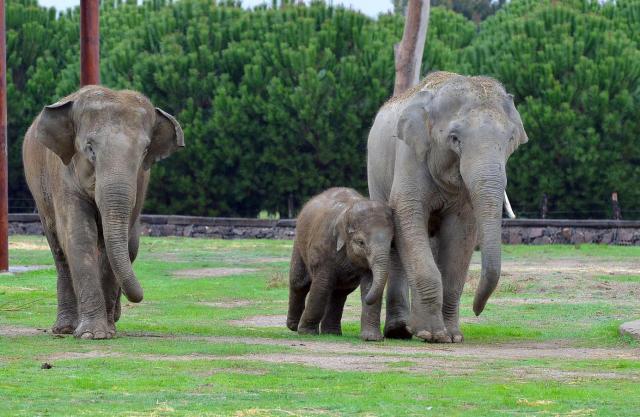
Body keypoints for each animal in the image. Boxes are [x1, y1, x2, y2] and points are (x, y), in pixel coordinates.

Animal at [22, 84, 182, 338]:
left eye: (145, 150)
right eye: (90, 148)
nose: (140, 295)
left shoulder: (140, 181)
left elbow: (116, 243)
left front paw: (104, 331)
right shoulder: (63, 175)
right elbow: (78, 236)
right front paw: (91, 334)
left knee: (130, 245)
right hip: (40, 195)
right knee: (59, 250)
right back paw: (66, 328)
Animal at [286, 187, 396, 340]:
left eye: (391, 242)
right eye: (361, 242)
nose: (367, 300)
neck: (347, 213)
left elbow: (369, 282)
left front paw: (372, 339)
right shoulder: (324, 249)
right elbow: (322, 285)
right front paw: (306, 332)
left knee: (339, 292)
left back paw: (331, 332)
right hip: (298, 242)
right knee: (299, 283)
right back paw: (293, 326)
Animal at [368, 71, 528, 342]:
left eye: (510, 140)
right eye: (455, 139)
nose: (477, 310)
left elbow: (462, 232)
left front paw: (452, 337)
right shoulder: (410, 155)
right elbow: (407, 213)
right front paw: (432, 335)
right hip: (375, 171)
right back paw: (401, 330)